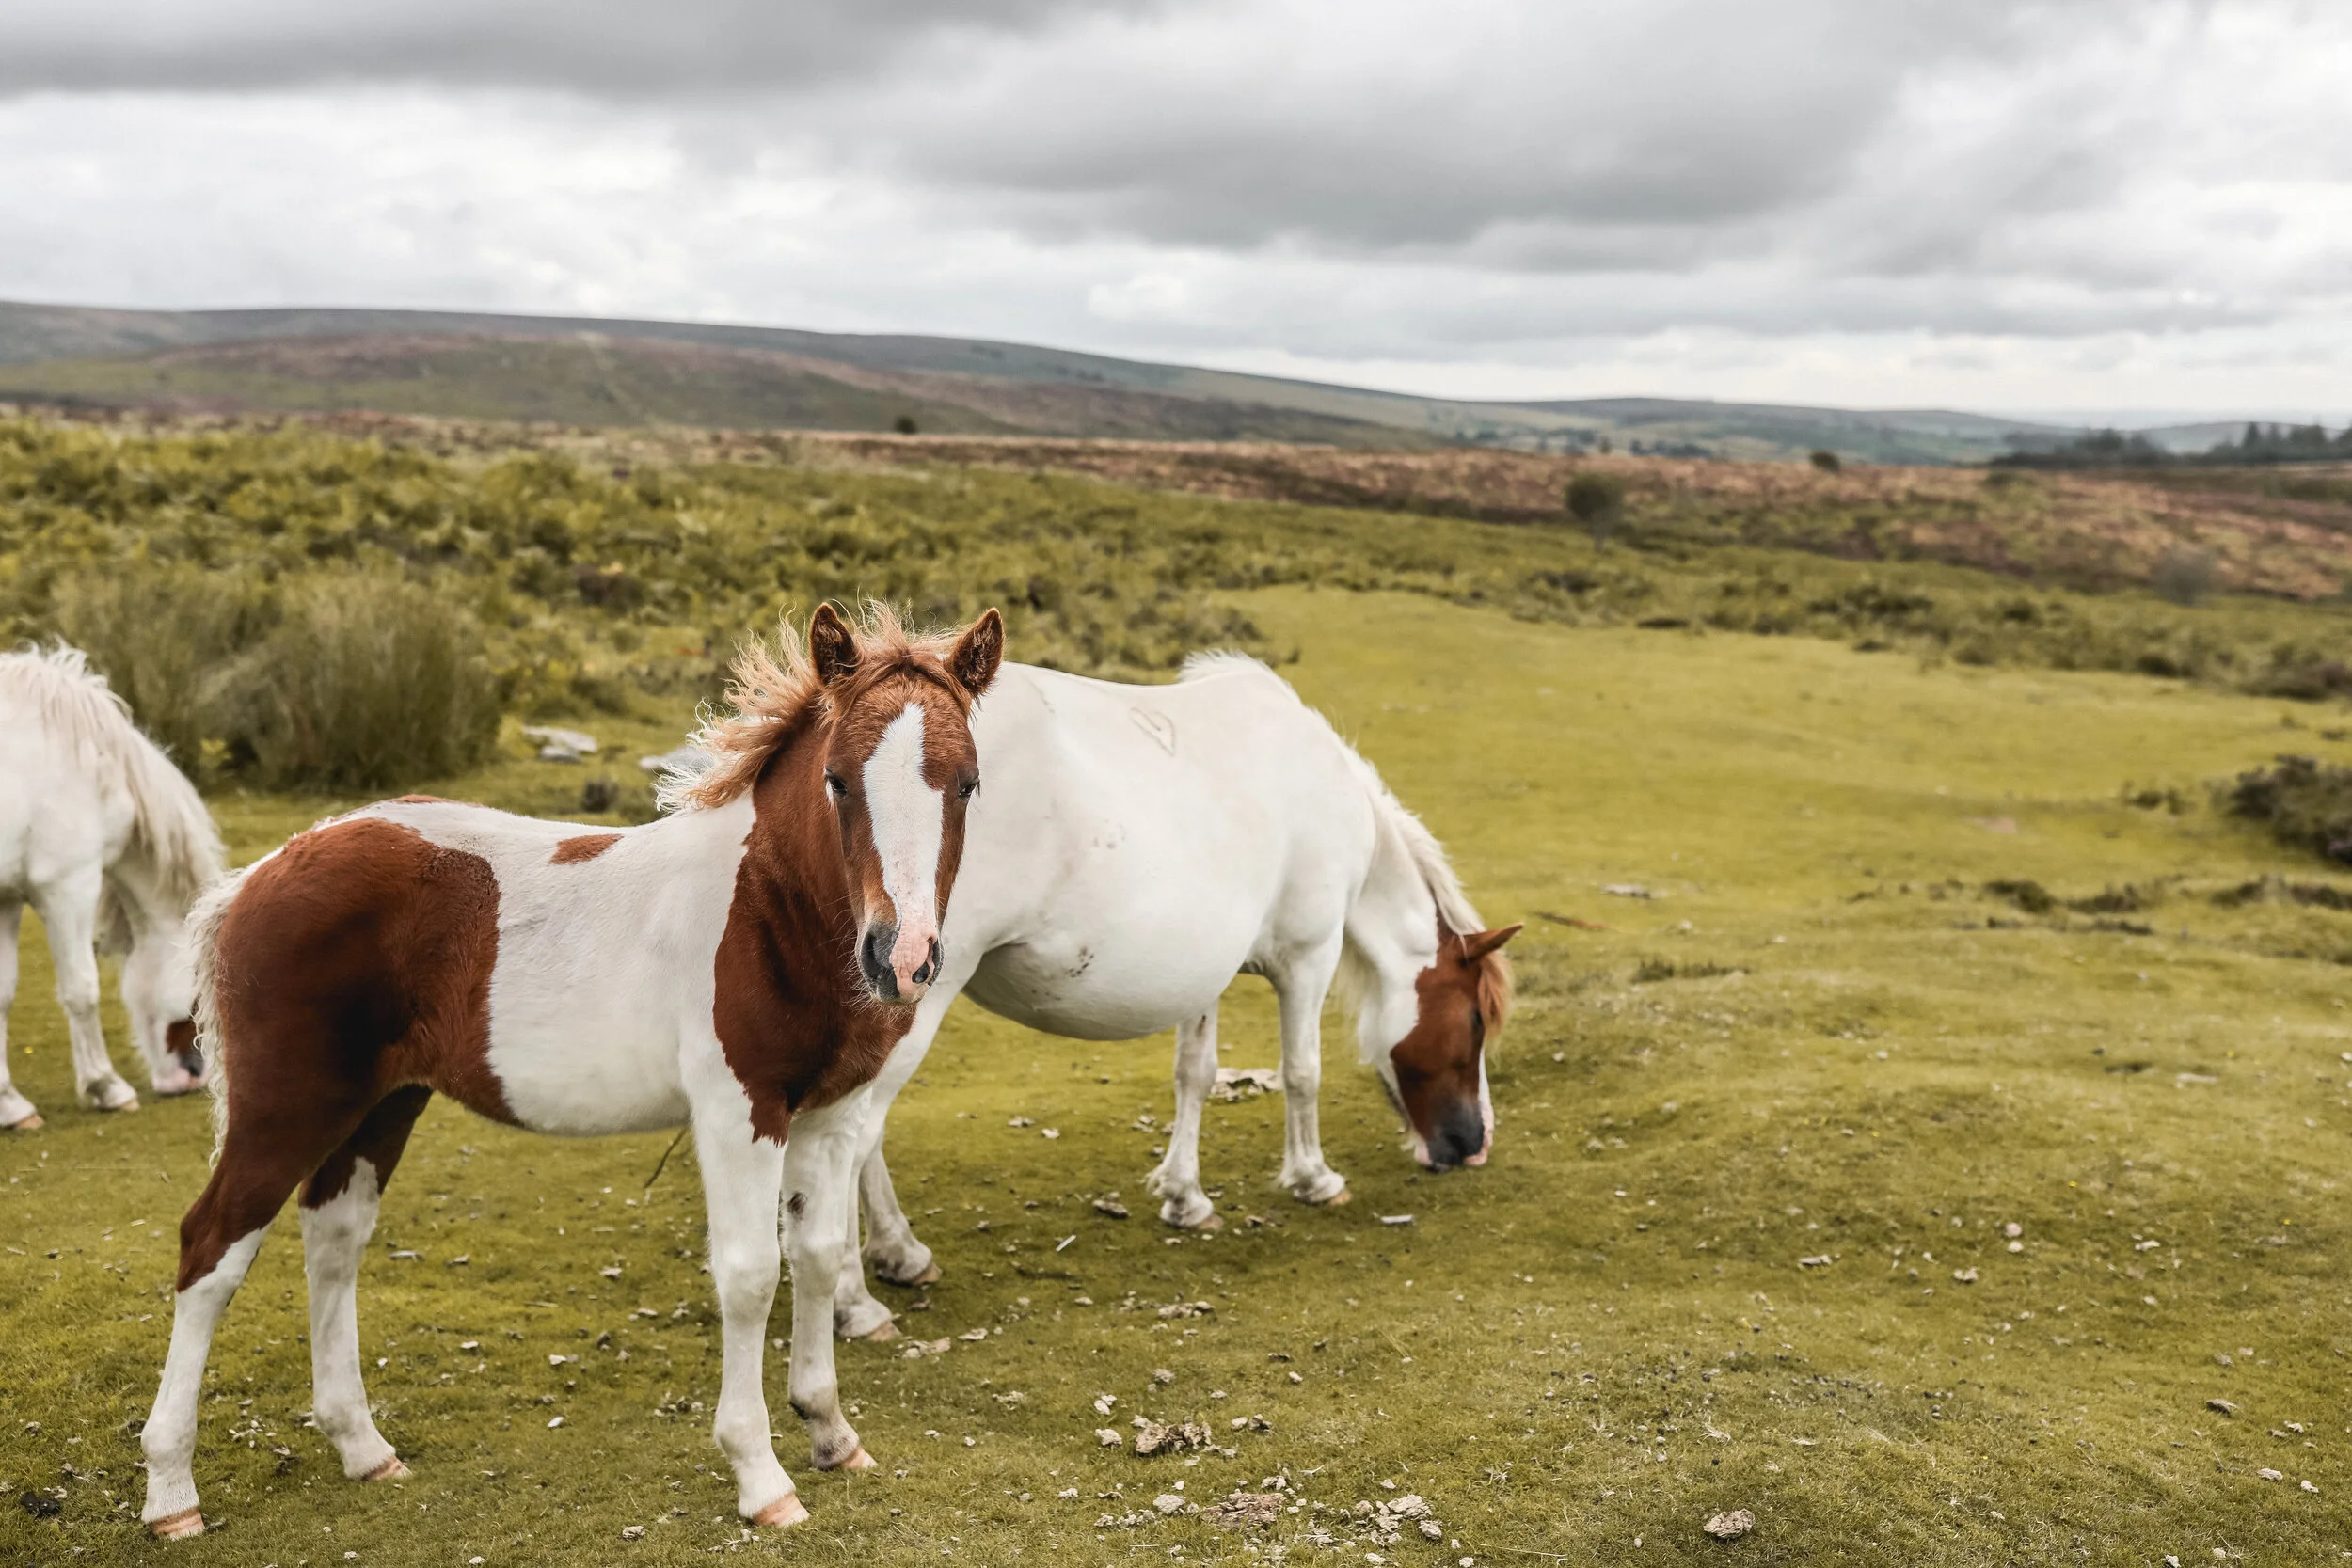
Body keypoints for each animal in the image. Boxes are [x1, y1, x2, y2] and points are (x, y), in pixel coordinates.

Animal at [0, 645, 222, 1130]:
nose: (192, 1077)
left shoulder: (6, 900)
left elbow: (3, 994)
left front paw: (10, 1105)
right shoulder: (68, 886)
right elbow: (81, 990)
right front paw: (107, 1088)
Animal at [139, 603, 1004, 1540]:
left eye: (966, 784)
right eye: (840, 780)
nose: (902, 959)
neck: (770, 909)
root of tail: (261, 873)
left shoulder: (831, 1115)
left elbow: (814, 1255)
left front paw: (832, 1432)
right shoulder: (739, 1110)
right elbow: (748, 1277)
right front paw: (761, 1475)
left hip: (382, 1105)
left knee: (333, 1241)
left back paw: (363, 1448)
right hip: (286, 1106)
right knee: (210, 1250)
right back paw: (171, 1491)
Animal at [828, 652, 1516, 1339]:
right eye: (1475, 1021)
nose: (1475, 1144)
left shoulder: (1203, 973)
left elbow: (1196, 1074)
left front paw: (1186, 1197)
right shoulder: (1309, 957)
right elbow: (1302, 1071)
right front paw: (1313, 1178)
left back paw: (900, 1254)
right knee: (852, 1139)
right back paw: (858, 1300)